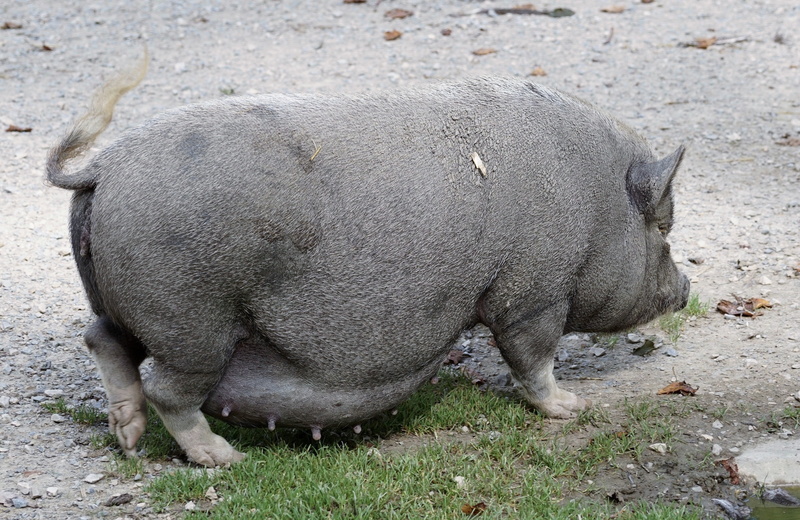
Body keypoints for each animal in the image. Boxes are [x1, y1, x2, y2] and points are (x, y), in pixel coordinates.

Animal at [46, 54, 690, 467]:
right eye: (663, 227)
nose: (686, 287)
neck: (598, 204)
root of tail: (103, 169)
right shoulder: (531, 294)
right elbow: (533, 358)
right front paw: (572, 407)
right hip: (190, 320)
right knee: (167, 387)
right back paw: (226, 460)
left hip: (126, 303)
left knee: (101, 339)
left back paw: (129, 440)